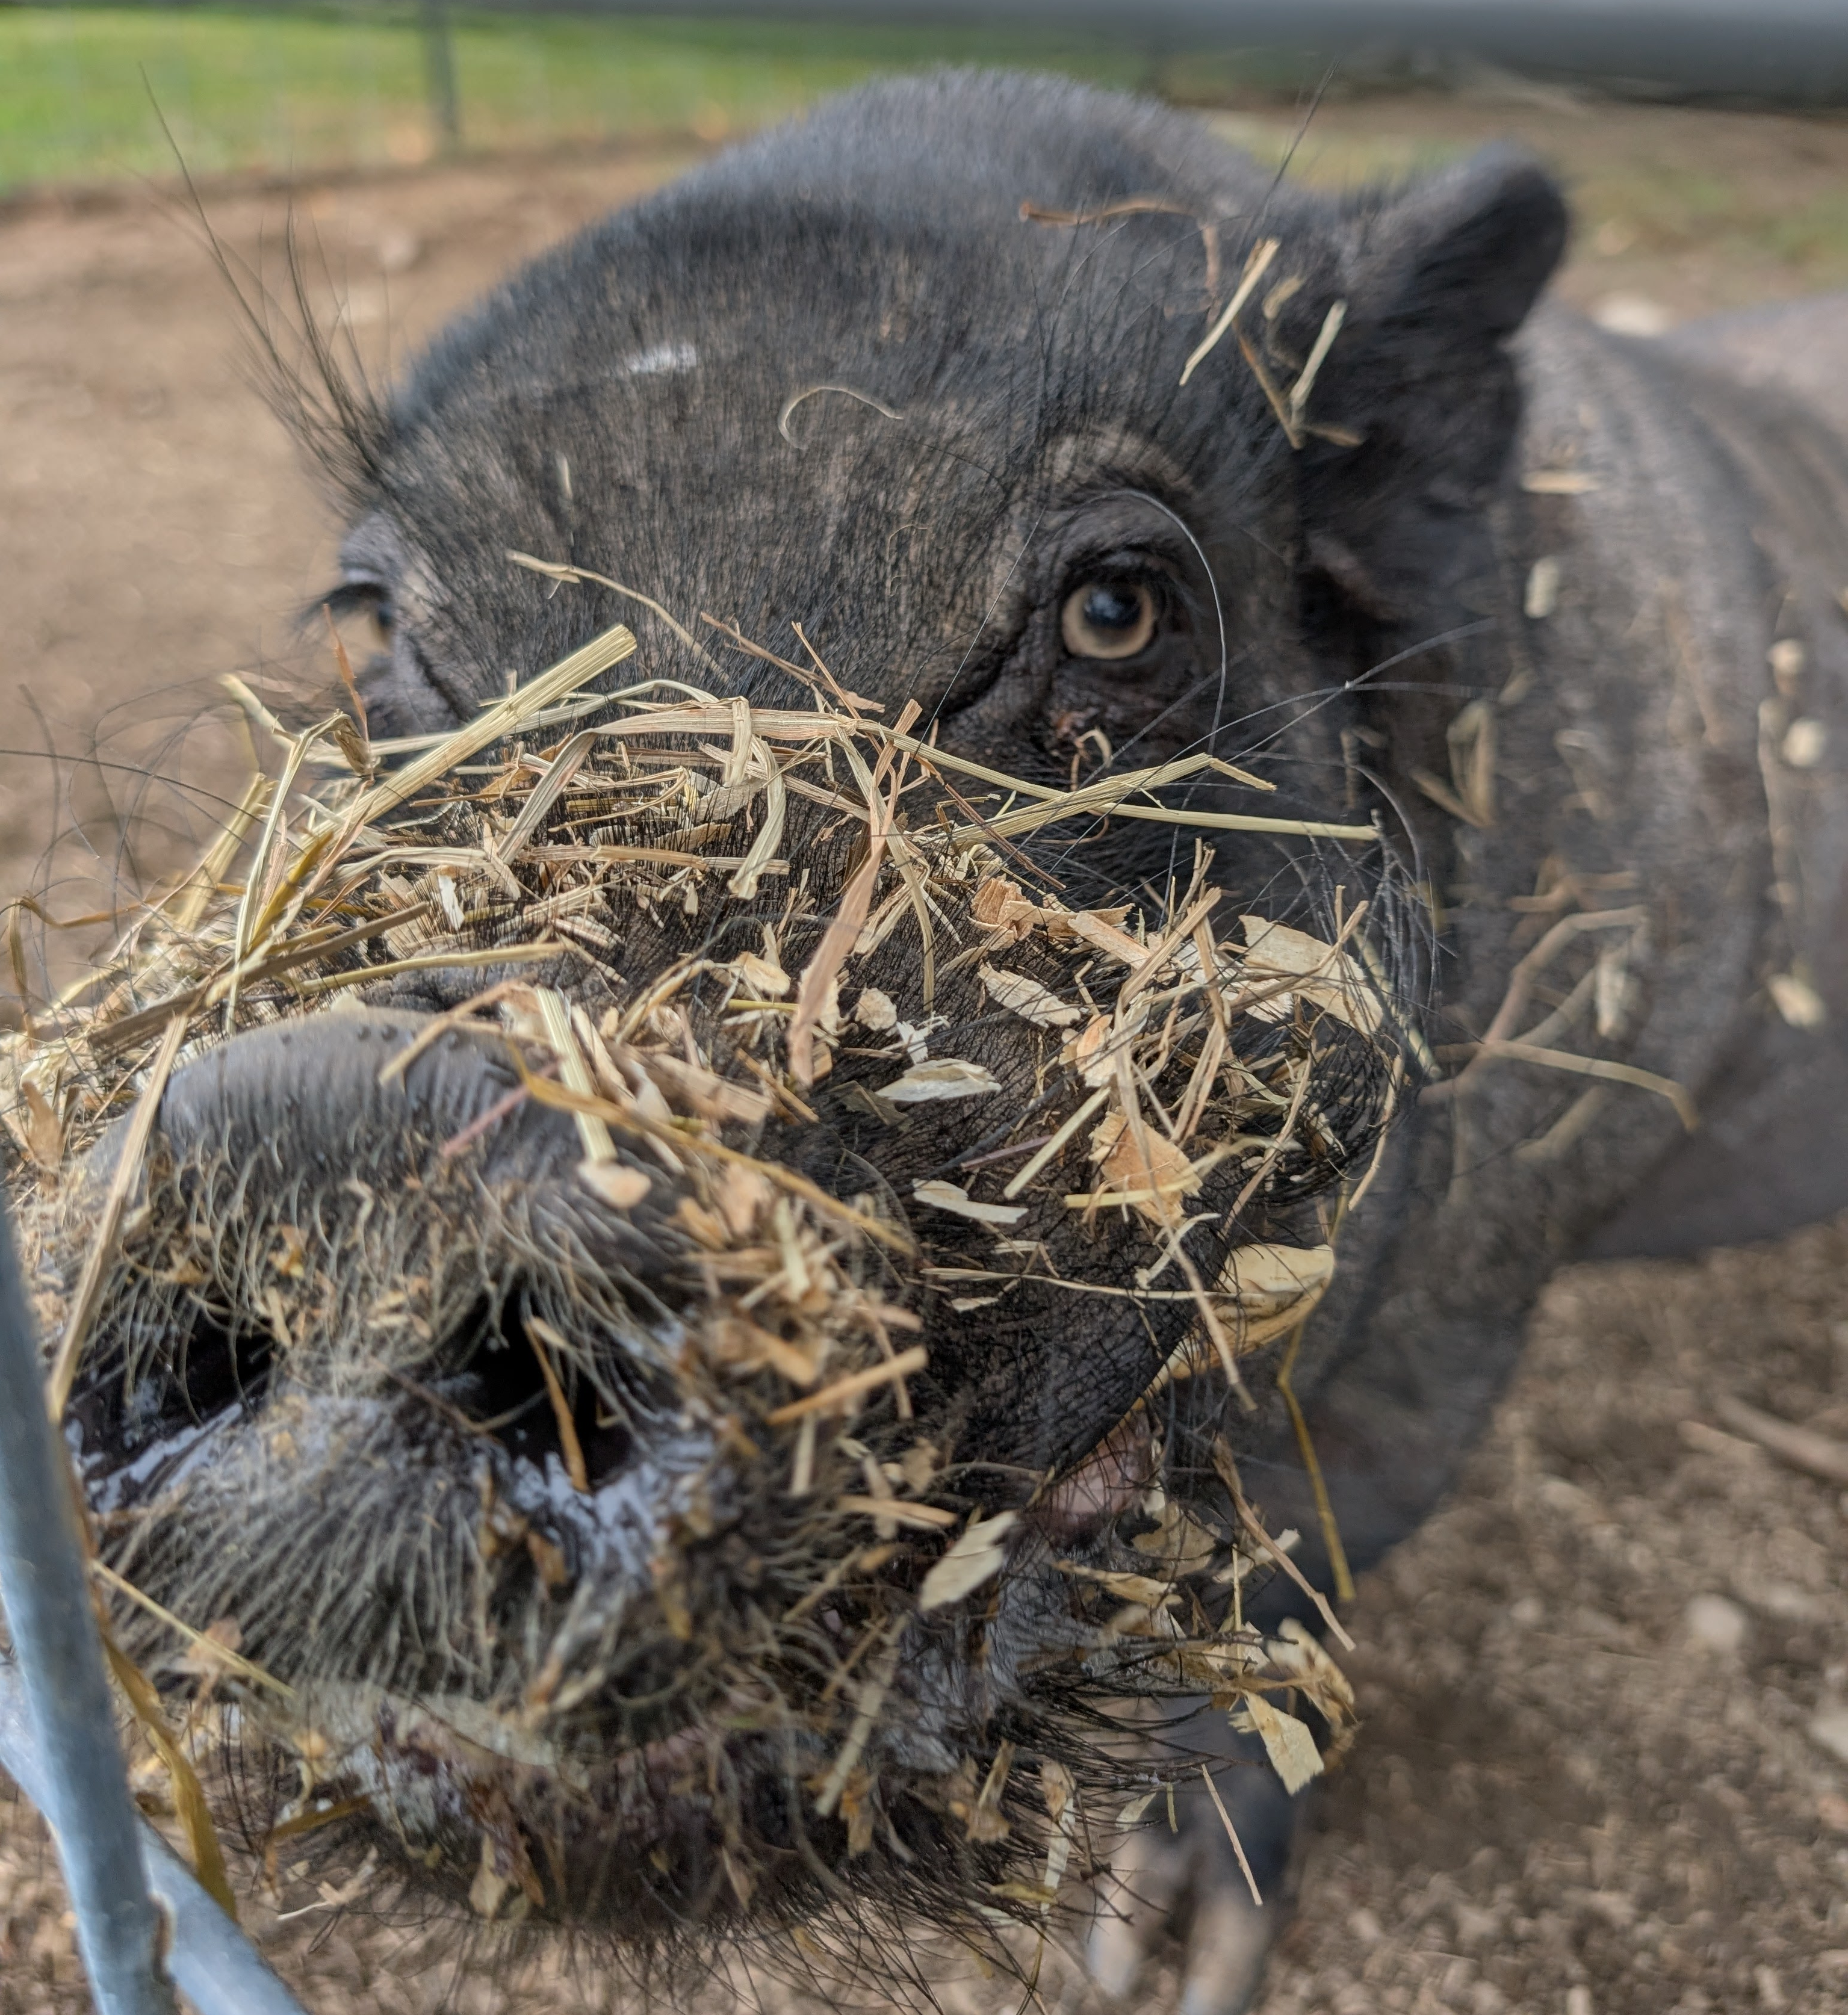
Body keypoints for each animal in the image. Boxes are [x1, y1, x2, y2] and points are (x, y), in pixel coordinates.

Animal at [19, 69, 1848, 2015]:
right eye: (371, 626)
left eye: (1122, 609)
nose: (334, 1123)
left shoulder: (1453, 1328)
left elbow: (1289, 1584)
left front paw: (1158, 1953)